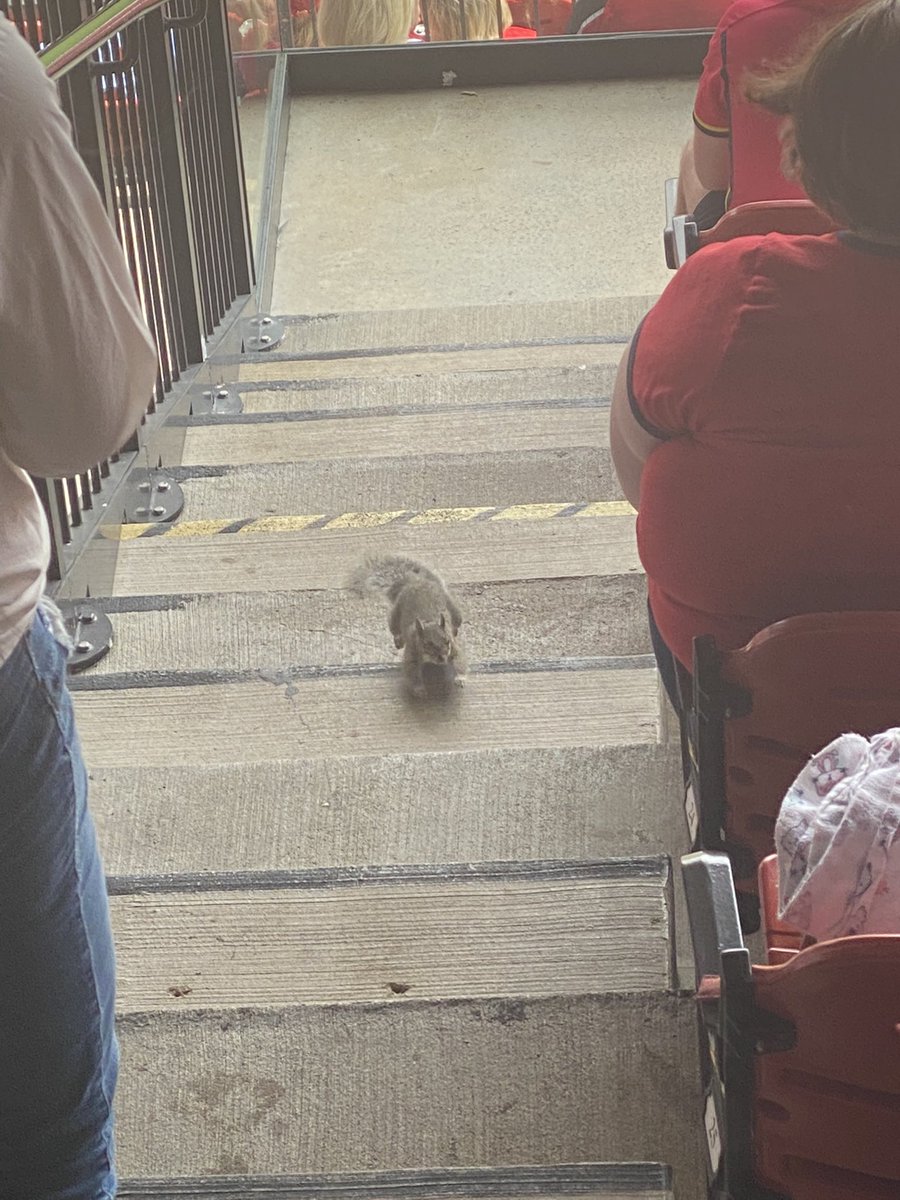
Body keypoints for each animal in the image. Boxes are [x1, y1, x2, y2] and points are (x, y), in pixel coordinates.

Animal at [348, 554, 466, 697]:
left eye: (447, 641)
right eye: (426, 644)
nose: (442, 658)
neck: (429, 622)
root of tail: (414, 581)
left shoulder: (453, 648)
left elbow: (459, 659)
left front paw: (460, 678)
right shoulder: (412, 651)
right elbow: (412, 671)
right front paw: (419, 690)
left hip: (454, 609)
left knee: (456, 621)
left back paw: (455, 629)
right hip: (395, 613)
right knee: (395, 629)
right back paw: (398, 639)